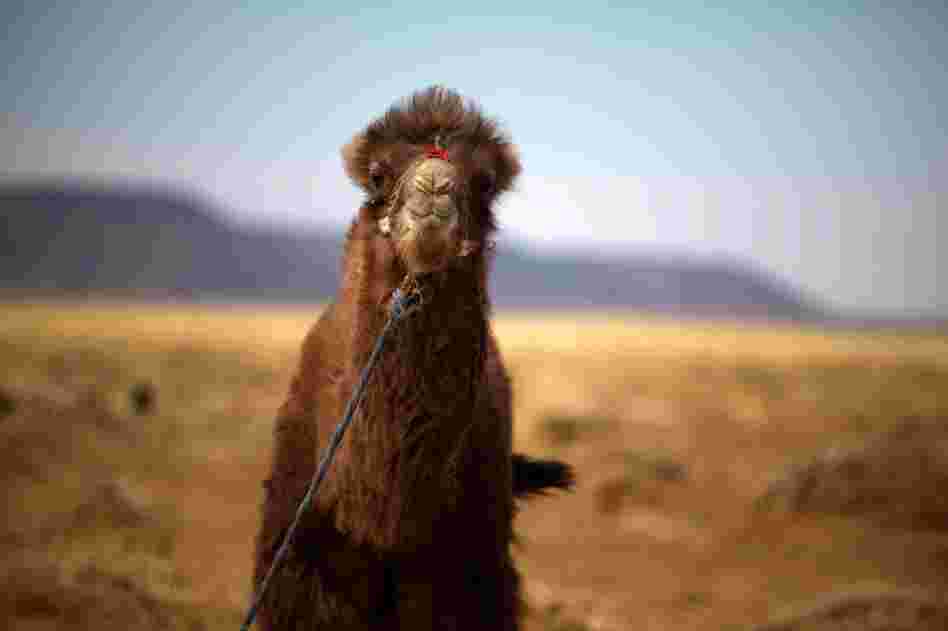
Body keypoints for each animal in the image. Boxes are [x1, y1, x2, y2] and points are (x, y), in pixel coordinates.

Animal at [253, 86, 573, 630]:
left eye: (485, 182)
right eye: (379, 175)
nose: (433, 189)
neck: (383, 525)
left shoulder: (466, 583)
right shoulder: (303, 572)